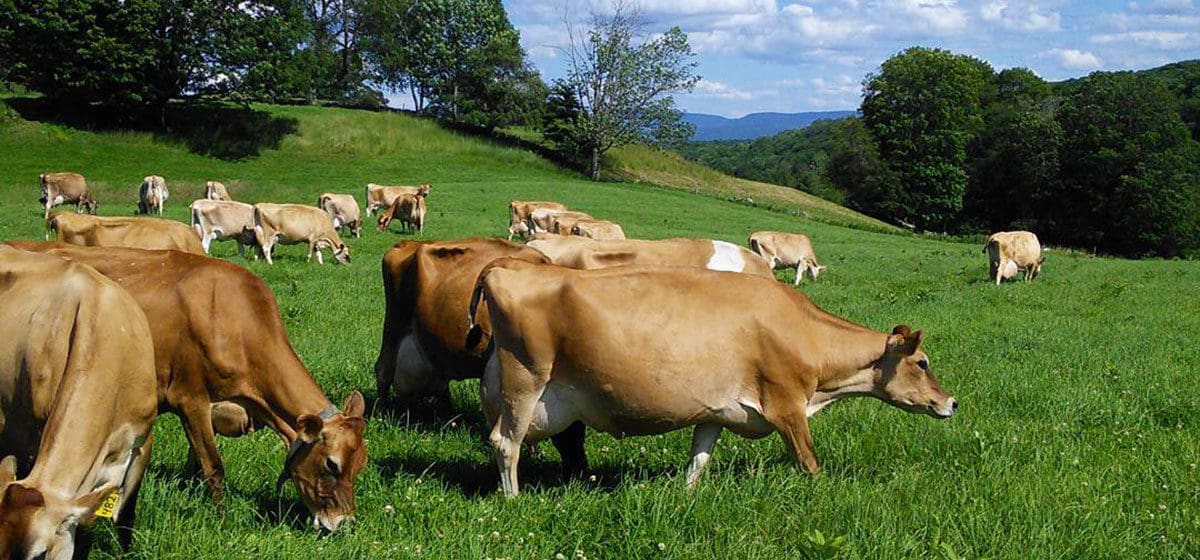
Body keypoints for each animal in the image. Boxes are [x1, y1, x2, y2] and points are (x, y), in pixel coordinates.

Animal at [7, 242, 367, 534]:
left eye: (360, 465)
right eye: (331, 464)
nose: (344, 523)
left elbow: (197, 458)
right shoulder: (190, 397)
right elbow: (213, 466)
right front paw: (222, 519)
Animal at [468, 260, 955, 496]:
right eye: (923, 362)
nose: (951, 402)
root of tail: (506, 268)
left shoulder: (715, 411)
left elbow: (698, 460)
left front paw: (686, 497)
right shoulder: (787, 405)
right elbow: (809, 462)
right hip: (525, 381)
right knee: (505, 442)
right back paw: (513, 500)